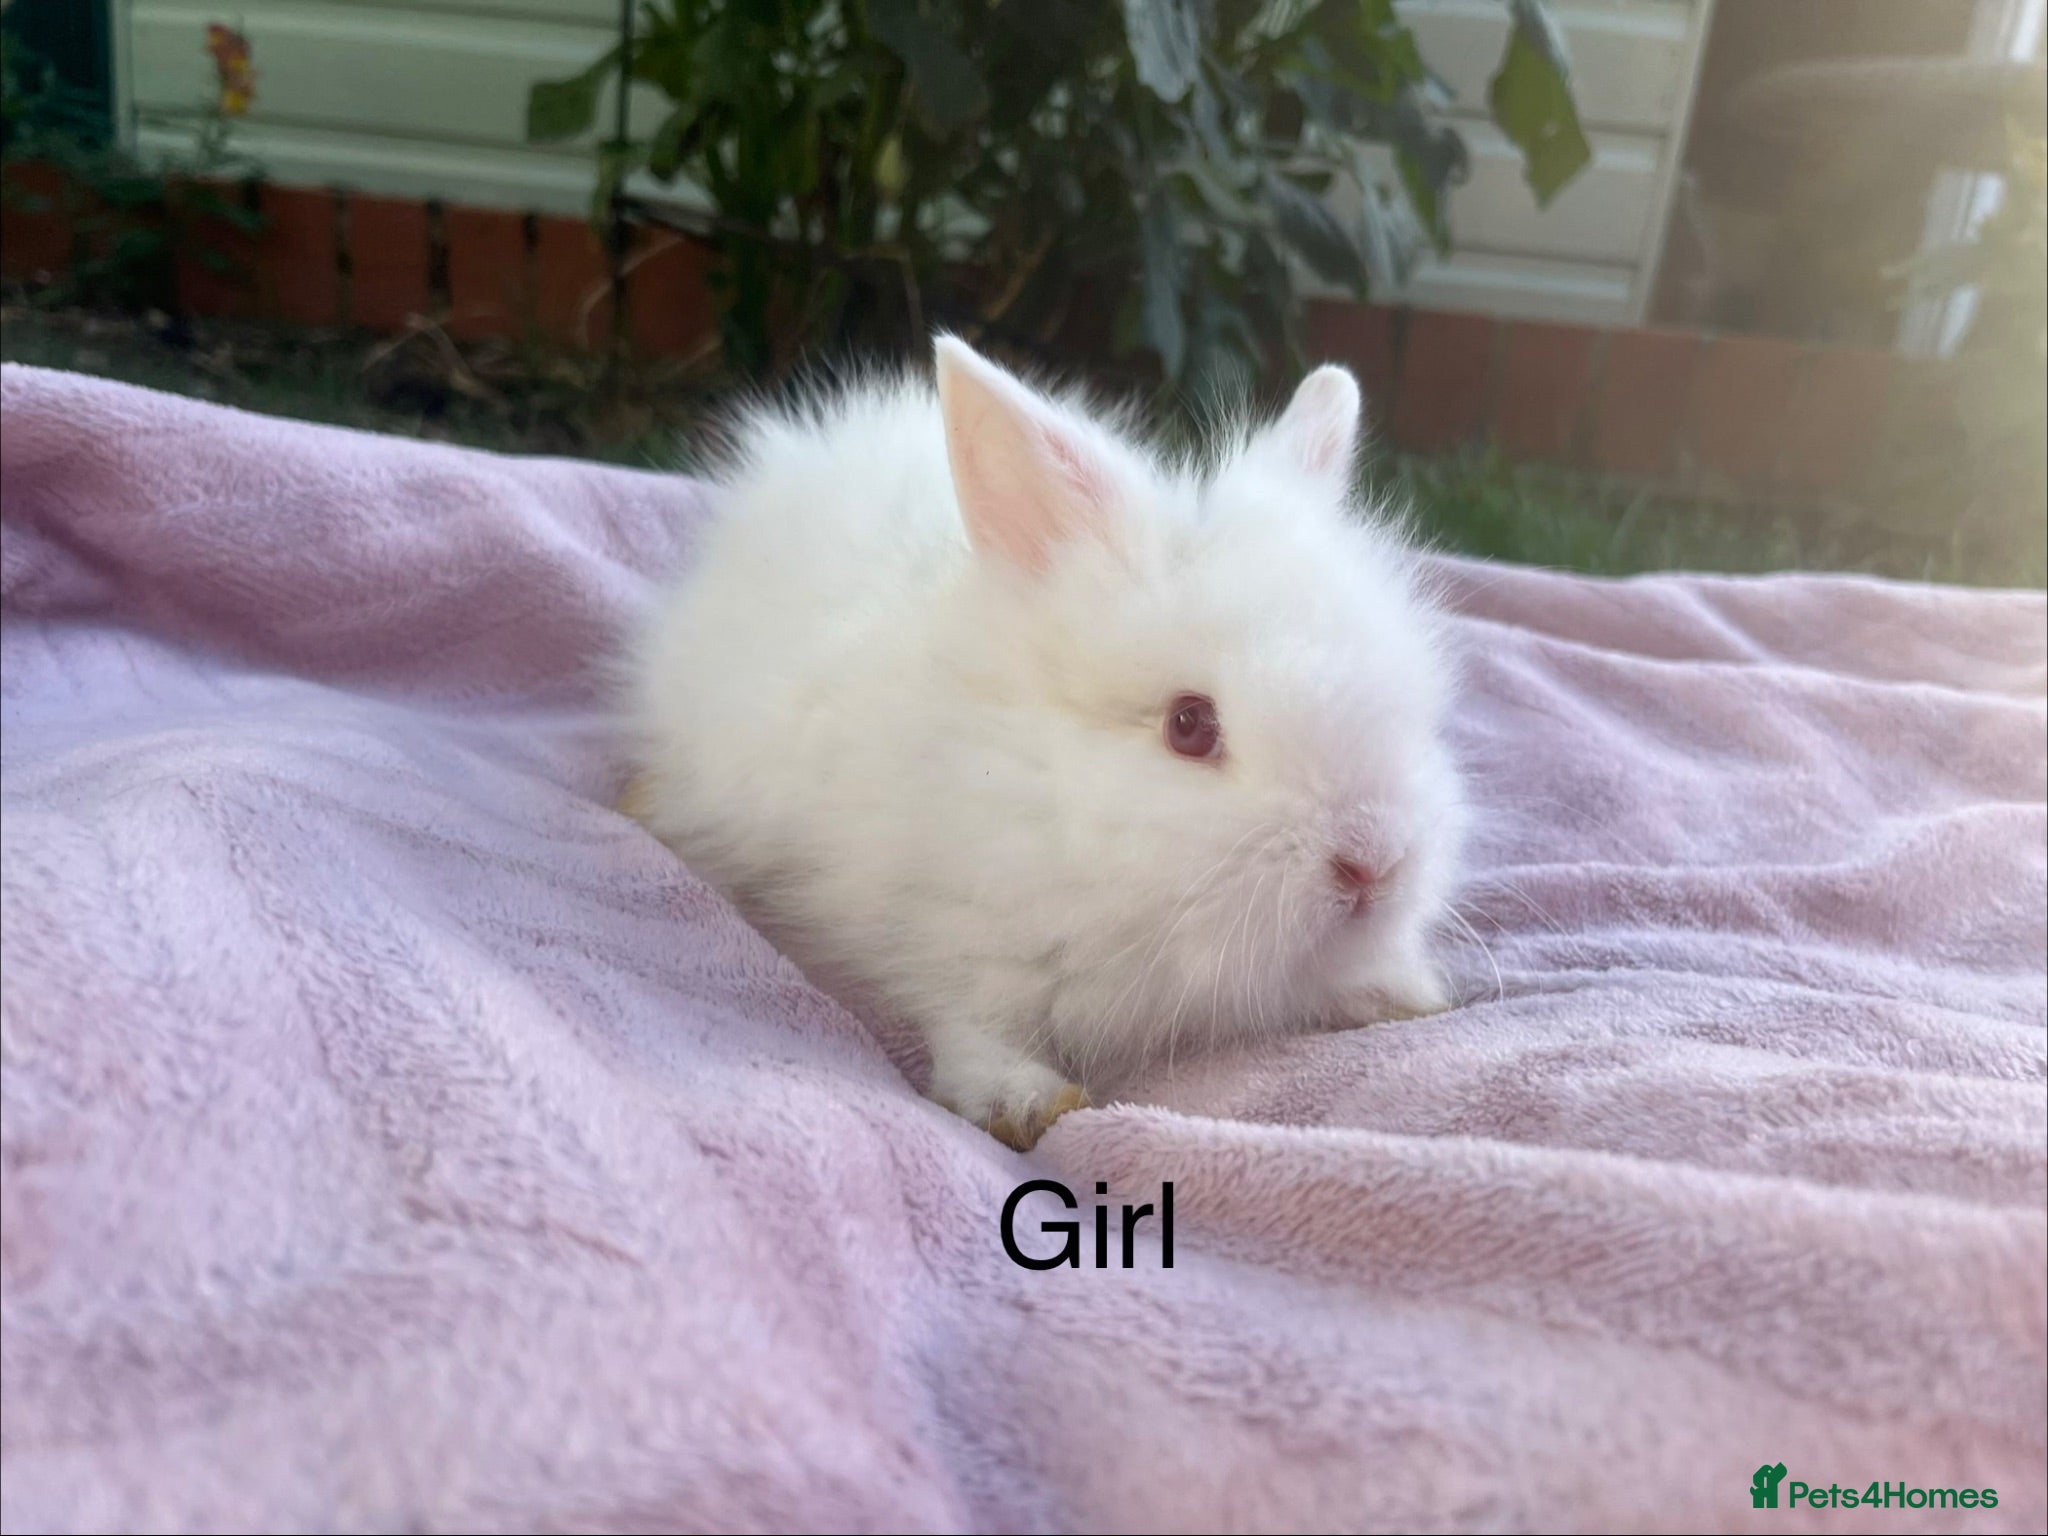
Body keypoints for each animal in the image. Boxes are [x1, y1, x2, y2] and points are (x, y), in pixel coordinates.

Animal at [623, 335, 1465, 1150]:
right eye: (1189, 726)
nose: (1373, 864)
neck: (1043, 797)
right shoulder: (945, 934)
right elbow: (970, 1021)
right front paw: (1022, 1103)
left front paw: (1404, 994)